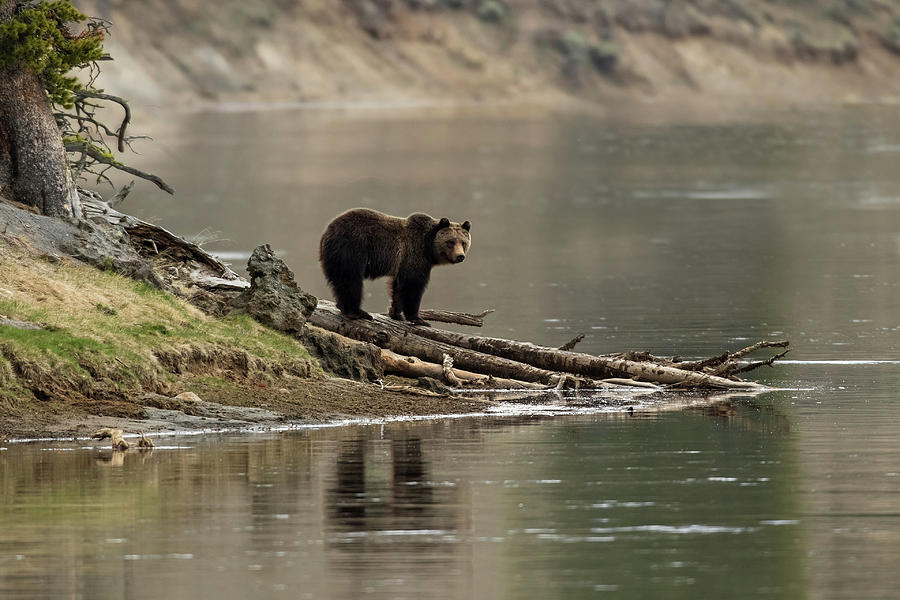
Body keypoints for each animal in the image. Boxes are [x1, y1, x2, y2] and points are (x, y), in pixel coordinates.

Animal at [318, 209, 472, 326]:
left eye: (463, 242)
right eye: (450, 242)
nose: (460, 256)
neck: (428, 248)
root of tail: (327, 231)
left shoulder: (402, 263)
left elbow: (398, 287)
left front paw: (396, 314)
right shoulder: (415, 255)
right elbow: (413, 286)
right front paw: (418, 318)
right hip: (352, 248)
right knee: (351, 280)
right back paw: (357, 312)